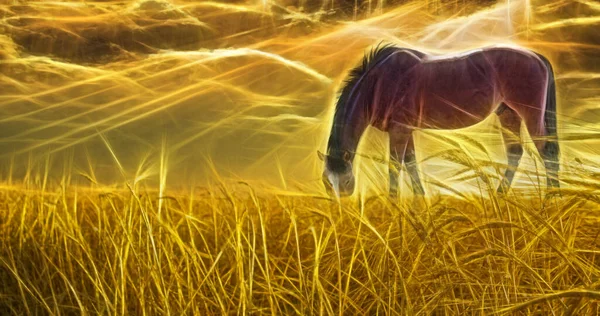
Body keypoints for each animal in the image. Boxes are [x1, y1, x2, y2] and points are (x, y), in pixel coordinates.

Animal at [318, 43, 556, 198]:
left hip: (530, 114)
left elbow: (395, 165)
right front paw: (420, 197)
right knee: (515, 152)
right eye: (326, 182)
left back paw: (552, 195)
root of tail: (537, 57)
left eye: (346, 181)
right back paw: (500, 194)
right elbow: (410, 162)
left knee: (545, 150)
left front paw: (393, 201)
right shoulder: (405, 131)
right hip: (508, 114)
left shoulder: (399, 131)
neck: (380, 82)